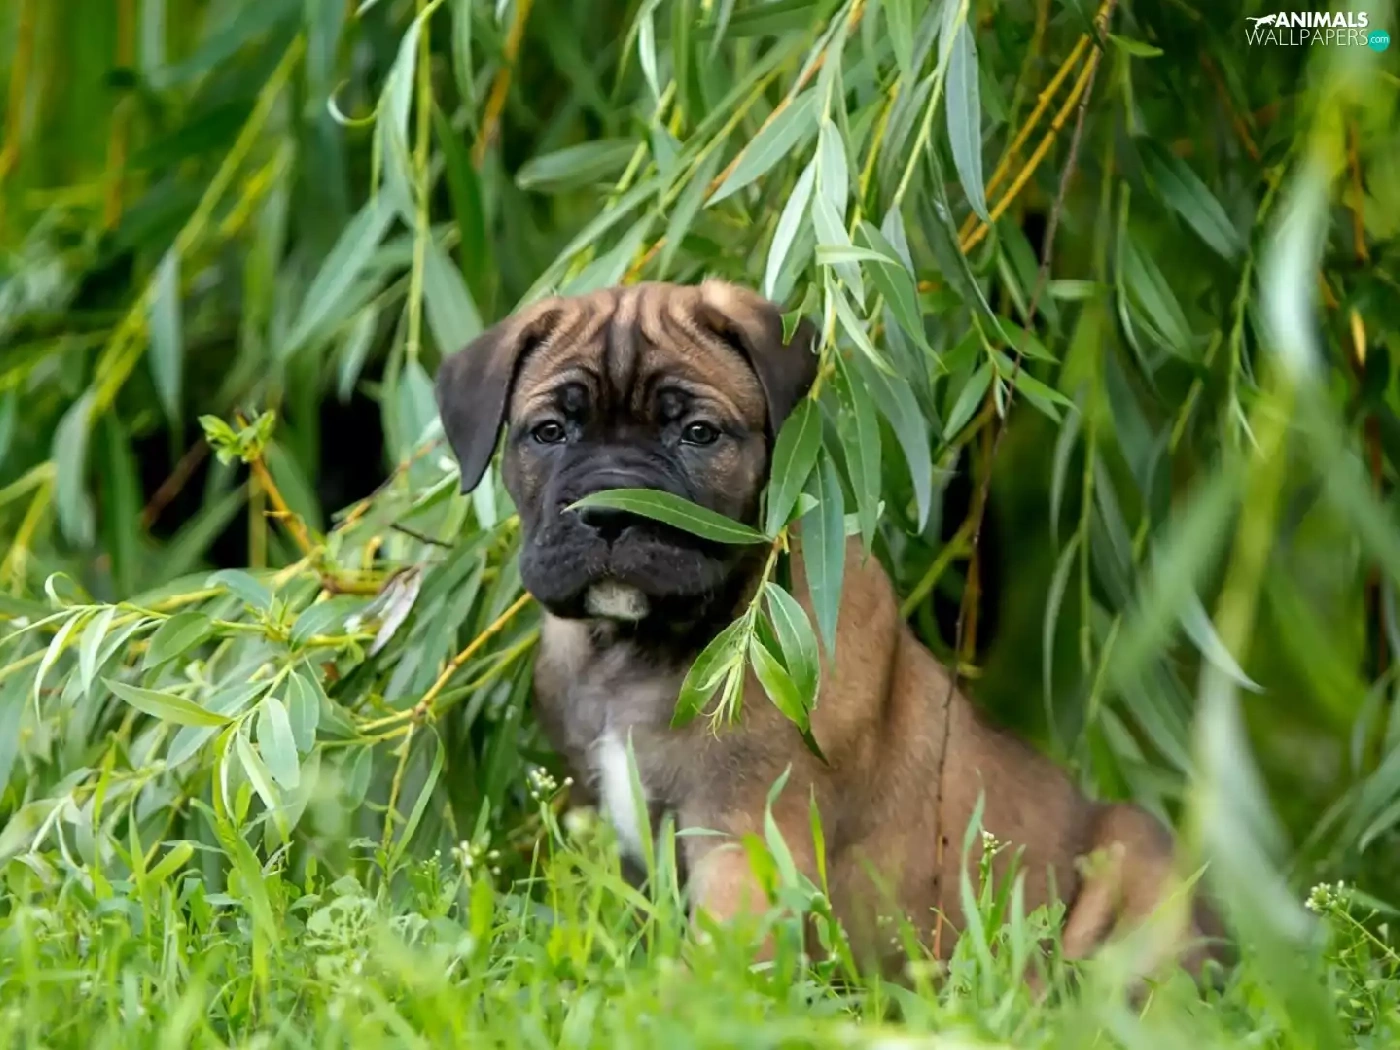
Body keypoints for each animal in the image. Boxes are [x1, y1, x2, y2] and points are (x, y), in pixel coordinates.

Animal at [435, 279, 1222, 978]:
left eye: (698, 434)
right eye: (549, 432)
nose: (608, 510)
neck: (641, 649)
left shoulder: (744, 834)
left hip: (1135, 850)